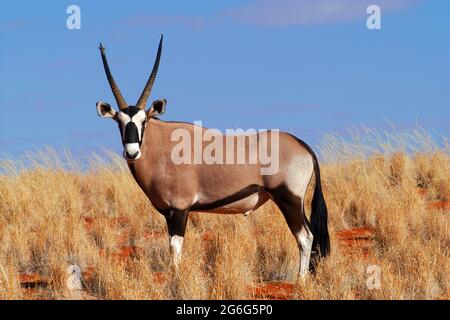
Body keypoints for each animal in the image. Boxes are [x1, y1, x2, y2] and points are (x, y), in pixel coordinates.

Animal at [96, 36, 330, 278]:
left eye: (144, 122)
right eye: (119, 122)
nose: (132, 152)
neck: (162, 146)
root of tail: (303, 146)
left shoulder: (180, 209)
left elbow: (175, 247)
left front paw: (176, 278)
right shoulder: (168, 213)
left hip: (288, 198)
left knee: (305, 237)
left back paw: (300, 280)